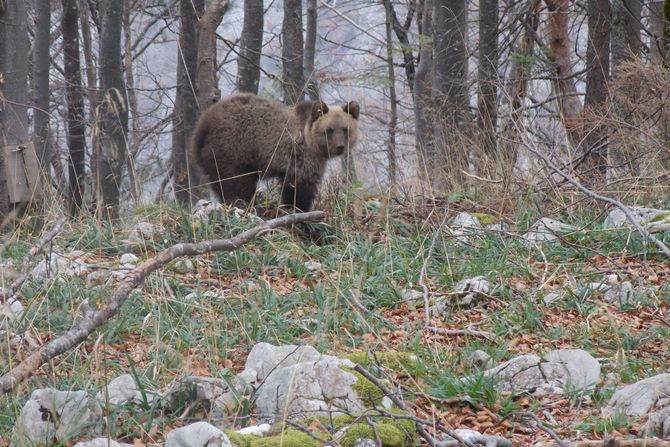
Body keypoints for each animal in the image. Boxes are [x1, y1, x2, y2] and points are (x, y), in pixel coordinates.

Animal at [192, 93, 360, 212]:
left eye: (345, 129)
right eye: (329, 130)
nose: (340, 147)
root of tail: (202, 125)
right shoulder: (303, 158)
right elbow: (300, 187)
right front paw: (298, 208)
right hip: (233, 148)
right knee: (236, 181)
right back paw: (247, 202)